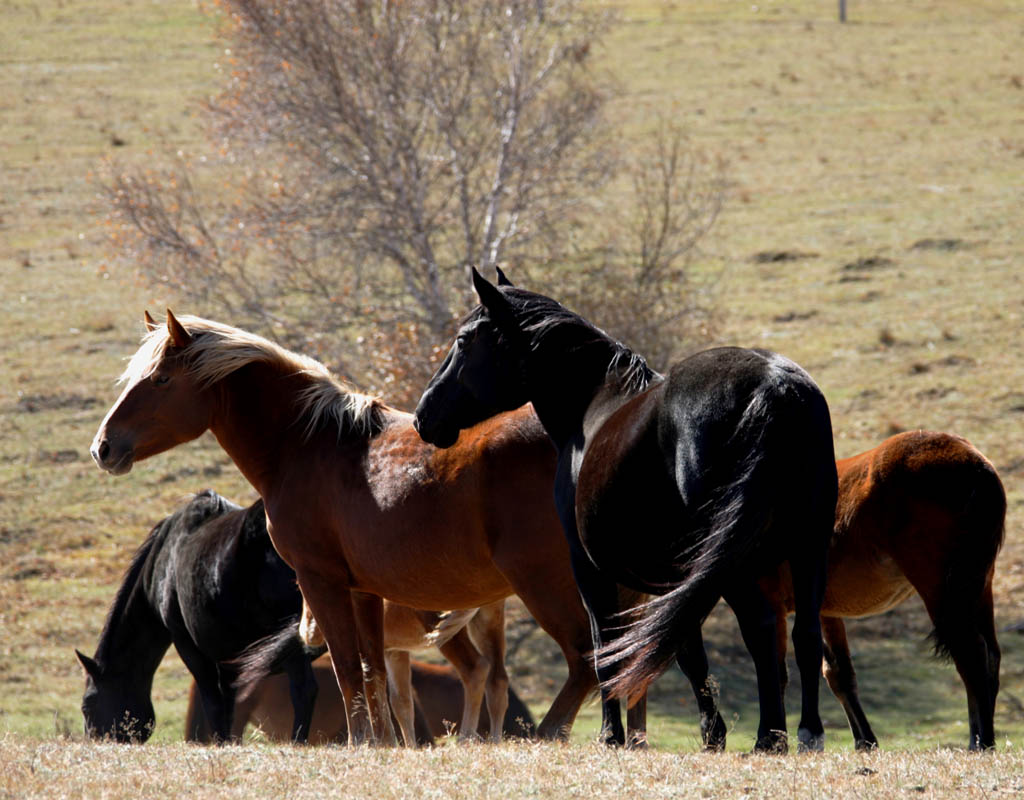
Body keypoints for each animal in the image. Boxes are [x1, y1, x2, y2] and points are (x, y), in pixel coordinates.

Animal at [74, 487, 315, 741]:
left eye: (87, 705)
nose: (94, 740)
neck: (161, 564)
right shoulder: (227, 656)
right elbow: (229, 702)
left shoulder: (187, 645)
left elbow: (213, 702)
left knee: (303, 691)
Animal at [415, 268, 839, 749]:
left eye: (464, 339)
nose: (424, 414)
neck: (590, 405)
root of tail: (775, 387)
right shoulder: (672, 577)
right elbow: (687, 651)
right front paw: (712, 735)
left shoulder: (589, 569)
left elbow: (606, 650)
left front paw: (612, 735)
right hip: (807, 548)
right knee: (805, 635)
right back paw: (807, 733)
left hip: (736, 564)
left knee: (762, 628)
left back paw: (770, 737)